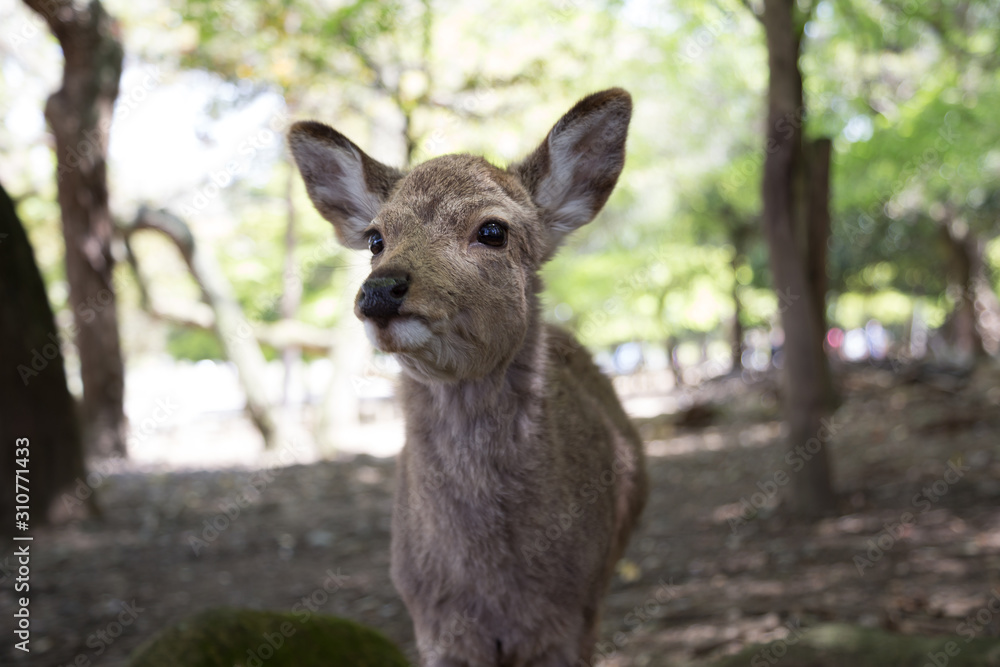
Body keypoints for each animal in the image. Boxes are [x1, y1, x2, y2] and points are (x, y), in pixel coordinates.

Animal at [290, 90, 648, 667]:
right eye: (375, 238)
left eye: (493, 230)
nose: (379, 290)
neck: (495, 588)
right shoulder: (435, 626)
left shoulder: (570, 617)